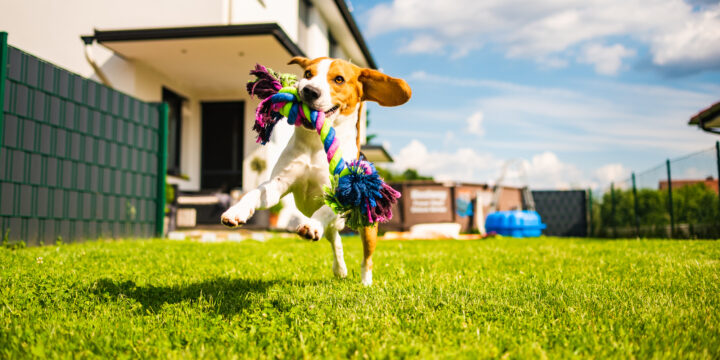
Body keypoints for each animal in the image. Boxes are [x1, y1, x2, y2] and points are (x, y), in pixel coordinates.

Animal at [219, 57, 410, 286]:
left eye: (339, 79)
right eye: (308, 74)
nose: (309, 91)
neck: (314, 143)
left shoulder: (342, 194)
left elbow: (325, 209)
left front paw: (311, 225)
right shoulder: (278, 184)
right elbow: (255, 194)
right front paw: (236, 211)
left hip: (368, 227)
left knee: (366, 258)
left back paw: (365, 282)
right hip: (335, 228)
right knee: (335, 238)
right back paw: (340, 268)